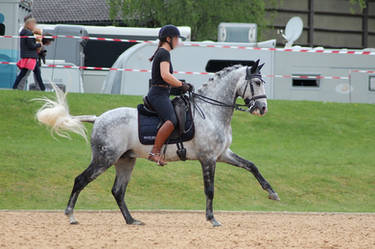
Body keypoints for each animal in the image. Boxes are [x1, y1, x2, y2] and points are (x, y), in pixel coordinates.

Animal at [35, 61, 280, 227]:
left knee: (118, 191)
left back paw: (131, 220)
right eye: (256, 82)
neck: (211, 111)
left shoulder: (223, 154)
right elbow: (209, 190)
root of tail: (98, 118)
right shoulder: (208, 158)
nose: (263, 108)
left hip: (125, 161)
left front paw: (272, 193)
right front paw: (212, 219)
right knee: (81, 180)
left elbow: (252, 166)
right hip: (104, 159)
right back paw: (71, 215)